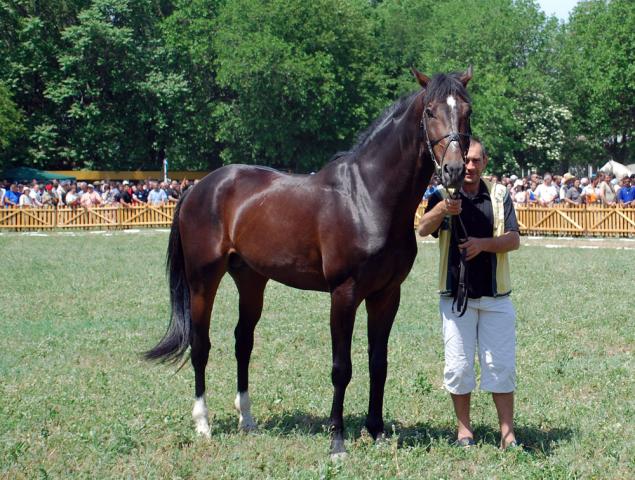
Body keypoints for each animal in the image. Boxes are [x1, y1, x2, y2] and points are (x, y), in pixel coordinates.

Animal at [145, 67, 473, 457]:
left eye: (467, 111)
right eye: (430, 112)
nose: (454, 171)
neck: (367, 196)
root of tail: (197, 188)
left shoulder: (386, 295)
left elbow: (378, 363)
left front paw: (376, 431)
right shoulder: (344, 294)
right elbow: (342, 368)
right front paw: (337, 439)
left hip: (250, 279)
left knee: (243, 342)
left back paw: (247, 420)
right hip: (202, 281)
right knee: (201, 344)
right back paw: (203, 424)